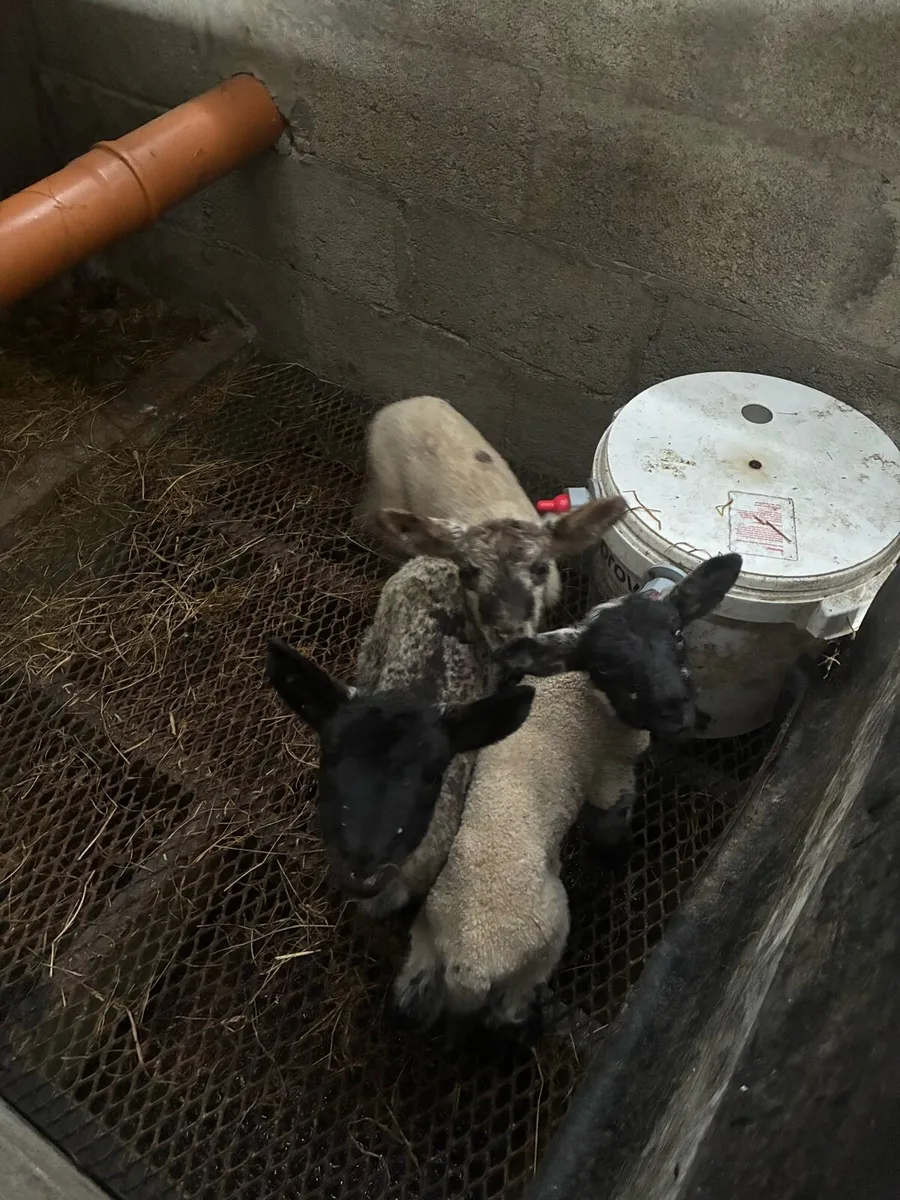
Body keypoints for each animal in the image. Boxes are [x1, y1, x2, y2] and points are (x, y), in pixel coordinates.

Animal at [392, 553, 744, 1033]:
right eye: (607, 666)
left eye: (676, 634)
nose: (677, 713)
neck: (581, 691)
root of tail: (471, 966)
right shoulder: (612, 776)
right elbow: (609, 832)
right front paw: (618, 862)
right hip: (542, 945)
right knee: (510, 1010)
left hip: (424, 947)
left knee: (409, 998)